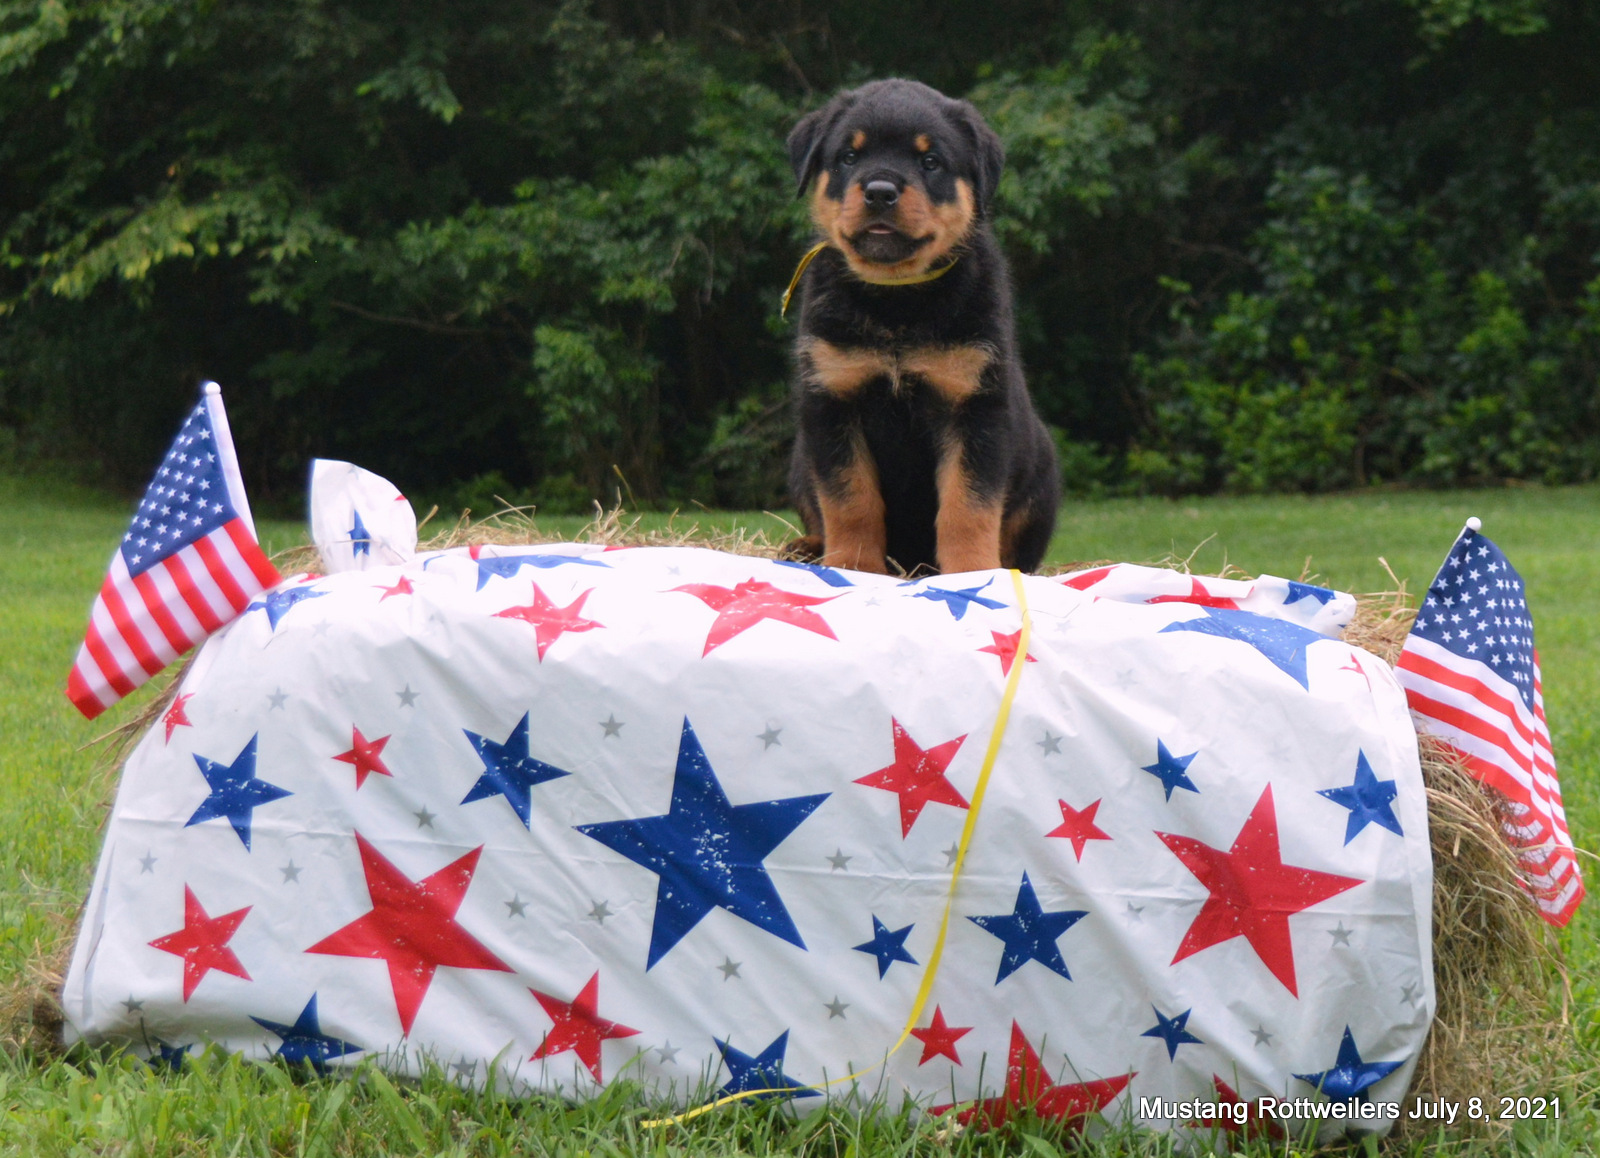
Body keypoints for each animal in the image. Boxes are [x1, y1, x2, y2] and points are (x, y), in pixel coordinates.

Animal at [783, 78, 1059, 576]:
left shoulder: (974, 404)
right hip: (800, 459)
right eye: (848, 156)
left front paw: (973, 572)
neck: (898, 302)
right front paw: (851, 566)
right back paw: (806, 549)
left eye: (930, 162)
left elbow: (967, 504)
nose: (879, 191)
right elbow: (849, 498)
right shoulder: (833, 398)